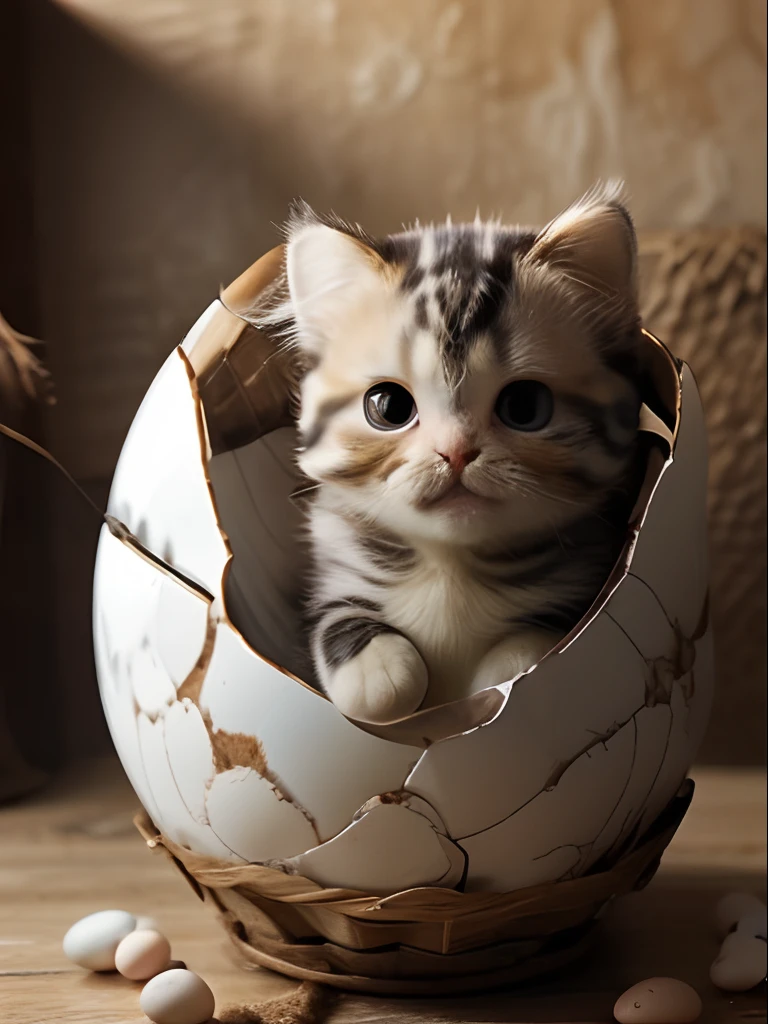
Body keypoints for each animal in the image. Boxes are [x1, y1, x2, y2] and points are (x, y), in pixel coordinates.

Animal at [257, 186, 643, 729]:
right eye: (390, 407)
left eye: (525, 406)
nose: (456, 452)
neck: (449, 570)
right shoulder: (327, 579)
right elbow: (340, 622)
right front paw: (379, 676)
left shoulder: (586, 585)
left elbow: (536, 646)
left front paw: (502, 680)